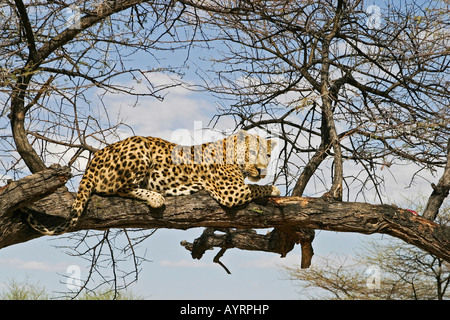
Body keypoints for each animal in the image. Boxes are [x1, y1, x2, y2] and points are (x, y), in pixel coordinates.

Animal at [26, 129, 280, 235]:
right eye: (252, 152)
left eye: (267, 155)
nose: (262, 169)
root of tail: (94, 159)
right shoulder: (231, 191)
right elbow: (256, 188)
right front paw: (275, 188)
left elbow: (255, 185)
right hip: (139, 149)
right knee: (116, 189)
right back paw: (155, 197)